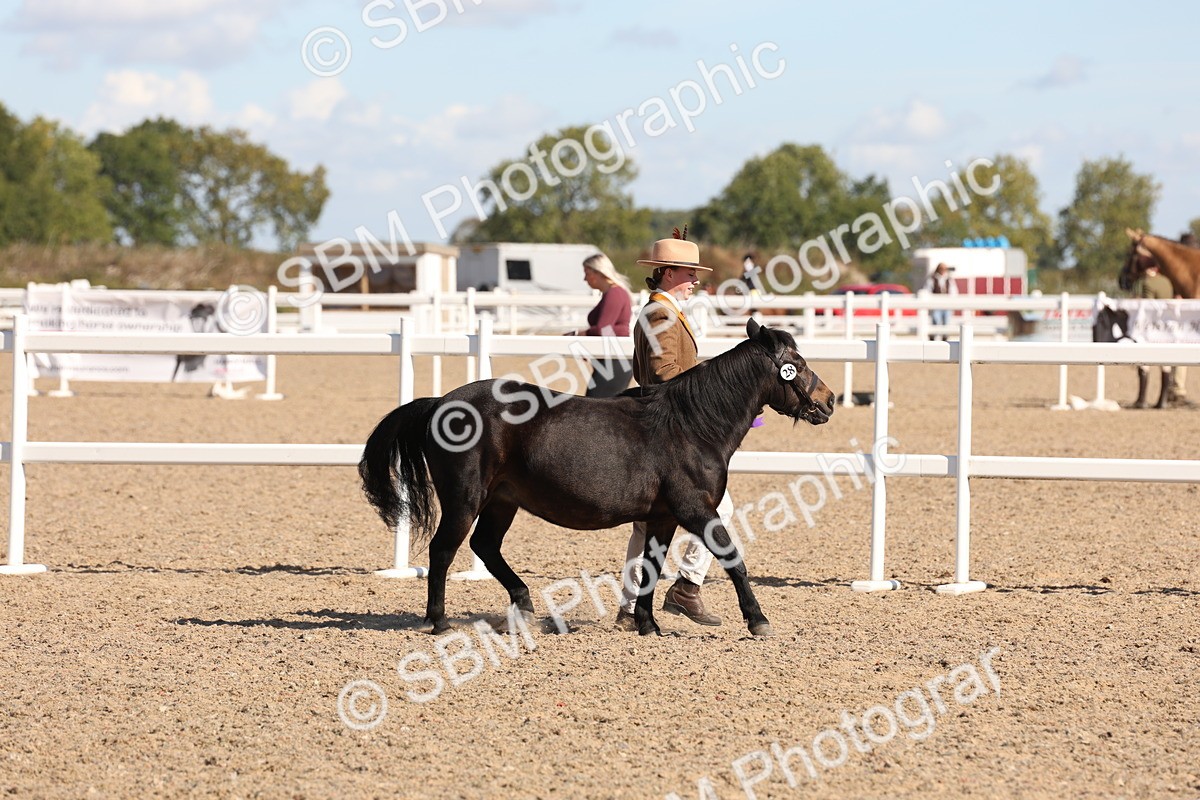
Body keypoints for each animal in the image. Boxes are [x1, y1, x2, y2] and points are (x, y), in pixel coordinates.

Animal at [358, 319, 836, 638]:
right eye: (795, 363)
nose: (829, 401)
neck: (691, 424)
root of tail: (442, 403)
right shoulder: (695, 510)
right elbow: (732, 557)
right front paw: (758, 621)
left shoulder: (663, 516)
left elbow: (651, 566)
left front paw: (647, 624)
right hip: (465, 499)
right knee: (443, 552)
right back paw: (438, 621)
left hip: (502, 501)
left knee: (485, 547)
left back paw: (525, 608)